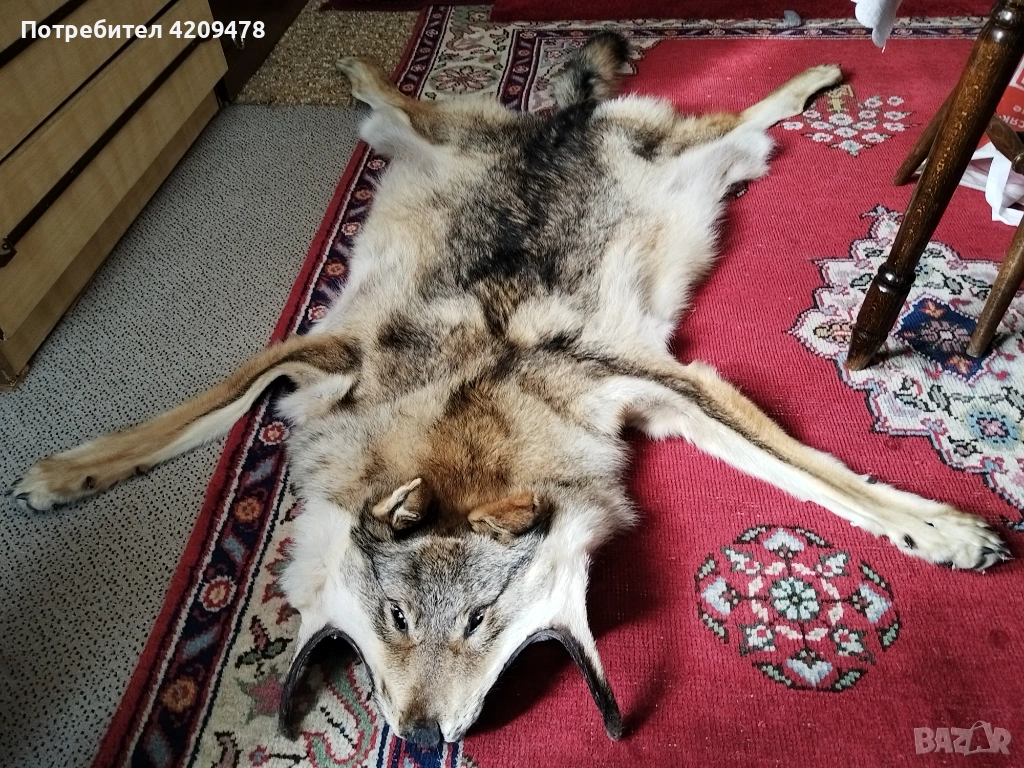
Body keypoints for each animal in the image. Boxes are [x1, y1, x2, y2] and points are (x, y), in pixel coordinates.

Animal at [12, 33, 1009, 748]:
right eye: (397, 619)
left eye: (483, 622)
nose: (421, 740)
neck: (469, 413)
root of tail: (561, 122)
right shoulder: (324, 348)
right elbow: (187, 415)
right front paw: (70, 473)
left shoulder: (667, 382)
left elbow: (819, 474)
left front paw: (941, 529)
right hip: (420, 142)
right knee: (400, 103)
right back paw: (359, 67)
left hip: (716, 157)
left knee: (747, 107)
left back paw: (818, 68)